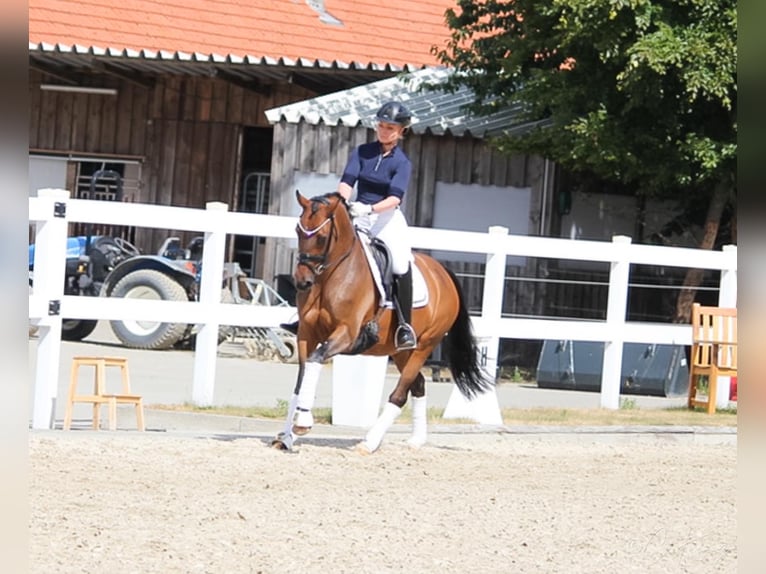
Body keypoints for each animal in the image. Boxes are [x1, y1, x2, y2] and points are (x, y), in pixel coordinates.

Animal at [272, 192, 496, 454]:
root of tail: (443, 273)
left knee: (400, 394)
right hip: (400, 351)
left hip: (424, 345)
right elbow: (301, 380)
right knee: (418, 384)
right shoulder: (307, 334)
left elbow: (315, 360)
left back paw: (369, 442)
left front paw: (302, 424)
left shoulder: (346, 334)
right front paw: (287, 437)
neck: (330, 276)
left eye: (322, 237)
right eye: (298, 231)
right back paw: (416, 440)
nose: (302, 282)